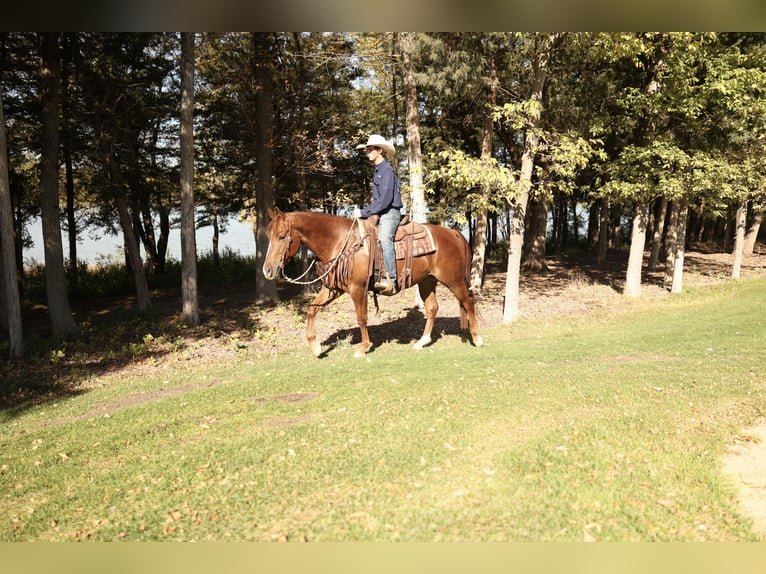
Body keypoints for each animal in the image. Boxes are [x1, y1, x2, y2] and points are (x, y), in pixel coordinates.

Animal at [262, 208, 483, 358]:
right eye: (268, 236)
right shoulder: (334, 288)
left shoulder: (357, 288)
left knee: (468, 302)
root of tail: (453, 233)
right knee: (432, 308)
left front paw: (363, 347)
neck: (341, 241)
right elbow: (312, 308)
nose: (267, 270)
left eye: (282, 236)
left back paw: (477, 338)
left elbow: (362, 317)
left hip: (453, 280)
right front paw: (316, 347)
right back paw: (422, 341)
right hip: (427, 281)